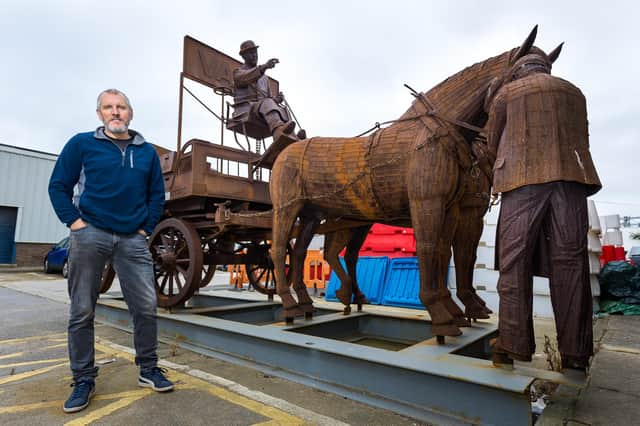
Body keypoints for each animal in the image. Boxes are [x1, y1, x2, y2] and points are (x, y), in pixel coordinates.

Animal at [270, 28, 556, 338]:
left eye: (549, 70)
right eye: (518, 73)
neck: (437, 137)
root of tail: (284, 153)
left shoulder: (453, 210)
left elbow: (448, 252)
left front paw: (458, 309)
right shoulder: (432, 205)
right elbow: (432, 248)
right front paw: (442, 315)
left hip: (319, 216)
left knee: (309, 253)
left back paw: (316, 301)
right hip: (288, 210)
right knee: (282, 249)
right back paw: (291, 305)